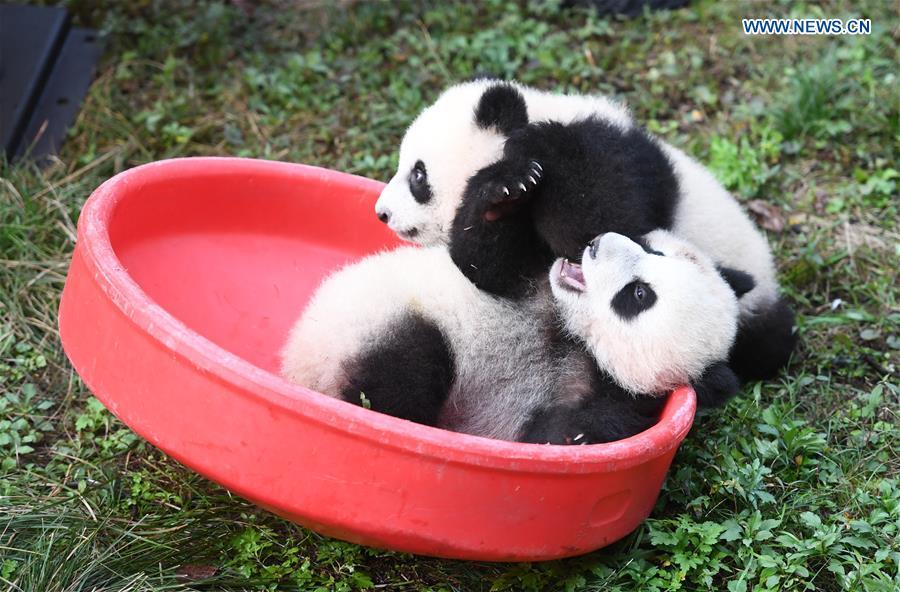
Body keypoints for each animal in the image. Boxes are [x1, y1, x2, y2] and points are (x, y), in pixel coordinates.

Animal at [281, 230, 750, 445]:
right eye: (655, 250)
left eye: (639, 295)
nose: (598, 242)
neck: (571, 337)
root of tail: (297, 372)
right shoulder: (531, 281)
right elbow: (485, 260)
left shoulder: (620, 394)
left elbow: (562, 434)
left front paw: (573, 435)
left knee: (403, 372)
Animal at [374, 79, 796, 383]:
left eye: (417, 175)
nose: (382, 213)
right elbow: (489, 266)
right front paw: (502, 192)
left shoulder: (615, 158)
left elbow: (603, 220)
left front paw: (527, 156)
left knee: (771, 342)